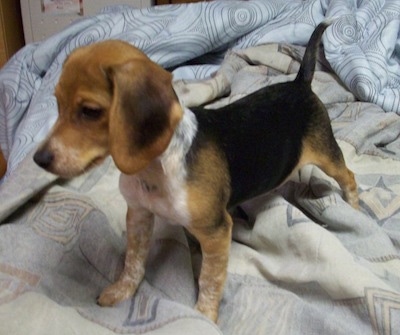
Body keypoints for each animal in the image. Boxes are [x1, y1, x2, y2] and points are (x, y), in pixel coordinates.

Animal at [33, 21, 360, 322]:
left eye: (90, 111)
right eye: (57, 104)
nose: (39, 159)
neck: (155, 168)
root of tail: (299, 82)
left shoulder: (216, 232)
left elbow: (209, 279)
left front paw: (203, 316)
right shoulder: (138, 215)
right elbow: (133, 261)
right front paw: (121, 290)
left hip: (326, 154)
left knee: (349, 176)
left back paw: (354, 208)